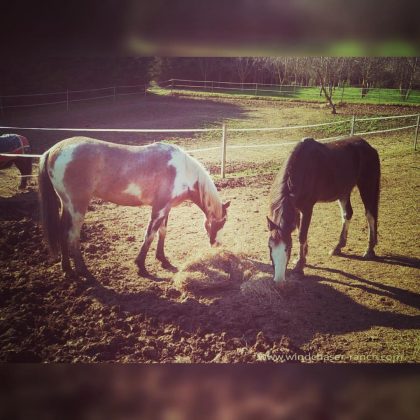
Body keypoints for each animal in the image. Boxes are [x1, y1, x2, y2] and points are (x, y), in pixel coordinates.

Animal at [38, 136, 230, 278]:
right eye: (221, 223)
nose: (218, 244)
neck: (183, 170)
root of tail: (53, 150)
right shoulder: (159, 208)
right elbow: (150, 235)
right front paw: (141, 267)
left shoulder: (166, 208)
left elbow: (162, 232)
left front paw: (163, 259)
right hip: (77, 206)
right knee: (72, 235)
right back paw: (83, 270)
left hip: (67, 205)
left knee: (62, 232)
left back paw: (67, 269)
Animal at [270, 136, 380, 284]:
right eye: (270, 247)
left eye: (288, 248)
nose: (279, 280)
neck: (301, 169)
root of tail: (369, 147)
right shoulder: (296, 209)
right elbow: (299, 231)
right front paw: (301, 258)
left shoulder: (307, 209)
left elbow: (302, 235)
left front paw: (299, 266)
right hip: (344, 191)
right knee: (347, 214)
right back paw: (338, 247)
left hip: (367, 186)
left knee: (370, 215)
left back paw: (369, 249)